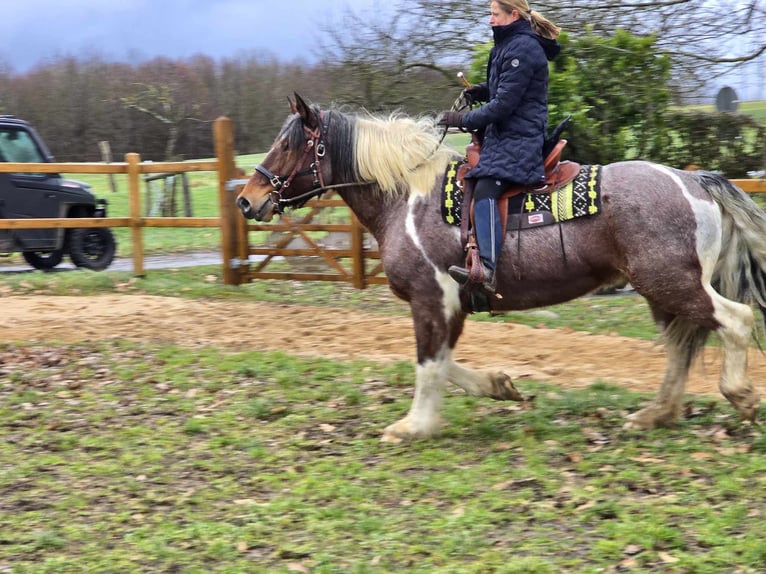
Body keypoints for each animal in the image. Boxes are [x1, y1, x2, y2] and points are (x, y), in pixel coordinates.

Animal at [237, 94, 764, 446]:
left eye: (289, 145)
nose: (247, 200)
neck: (406, 198)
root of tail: (694, 181)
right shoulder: (452, 305)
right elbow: (442, 362)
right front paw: (498, 386)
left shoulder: (432, 299)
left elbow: (428, 364)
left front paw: (413, 425)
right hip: (659, 290)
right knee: (680, 347)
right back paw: (655, 415)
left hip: (672, 284)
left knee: (735, 320)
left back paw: (738, 395)